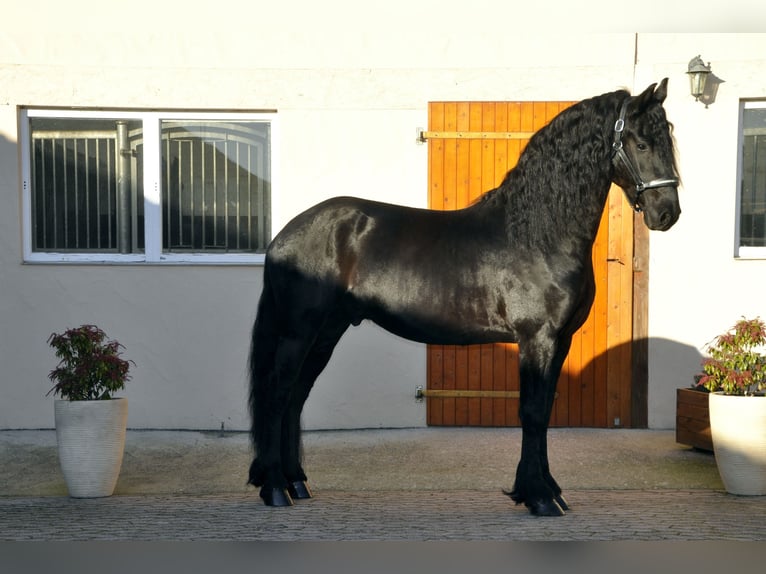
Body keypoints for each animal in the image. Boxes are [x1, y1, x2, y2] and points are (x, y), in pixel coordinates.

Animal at [247, 79, 681, 516]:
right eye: (641, 143)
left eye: (669, 138)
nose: (668, 214)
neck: (537, 235)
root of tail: (285, 235)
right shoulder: (536, 339)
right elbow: (532, 411)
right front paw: (539, 496)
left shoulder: (560, 341)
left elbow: (544, 410)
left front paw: (548, 490)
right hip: (298, 332)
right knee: (278, 395)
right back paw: (275, 488)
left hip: (326, 333)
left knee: (296, 397)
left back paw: (296, 482)